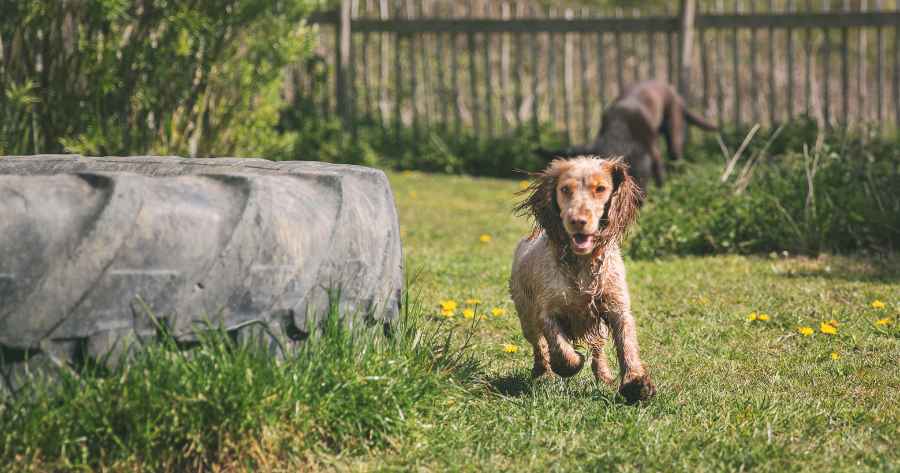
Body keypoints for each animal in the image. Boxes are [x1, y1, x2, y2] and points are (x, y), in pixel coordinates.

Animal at [512, 155, 652, 402]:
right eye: (565, 189)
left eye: (601, 189)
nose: (577, 220)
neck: (583, 264)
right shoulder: (547, 313)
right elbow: (562, 352)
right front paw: (570, 362)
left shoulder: (617, 309)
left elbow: (627, 346)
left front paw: (635, 383)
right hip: (526, 316)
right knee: (538, 345)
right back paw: (542, 370)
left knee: (598, 349)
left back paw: (604, 375)